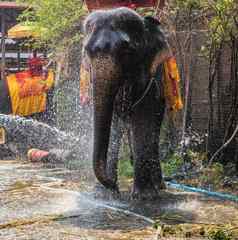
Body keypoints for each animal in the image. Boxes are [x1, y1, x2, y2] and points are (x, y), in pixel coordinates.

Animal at [82, 7, 173, 200]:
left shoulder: (149, 78)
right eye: (87, 51)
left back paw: (159, 186)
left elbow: (143, 119)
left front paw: (144, 196)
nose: (112, 183)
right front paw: (104, 193)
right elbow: (113, 123)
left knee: (154, 131)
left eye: (127, 51)